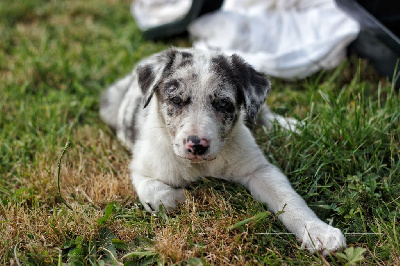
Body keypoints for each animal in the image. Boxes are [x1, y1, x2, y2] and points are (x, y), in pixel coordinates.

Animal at [100, 47, 346, 256]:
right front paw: (178, 198)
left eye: (223, 104)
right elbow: (154, 192)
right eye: (176, 100)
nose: (196, 145)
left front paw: (318, 231)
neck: (202, 165)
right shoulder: (142, 168)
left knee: (265, 115)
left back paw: (293, 126)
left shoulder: (260, 170)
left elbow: (290, 200)